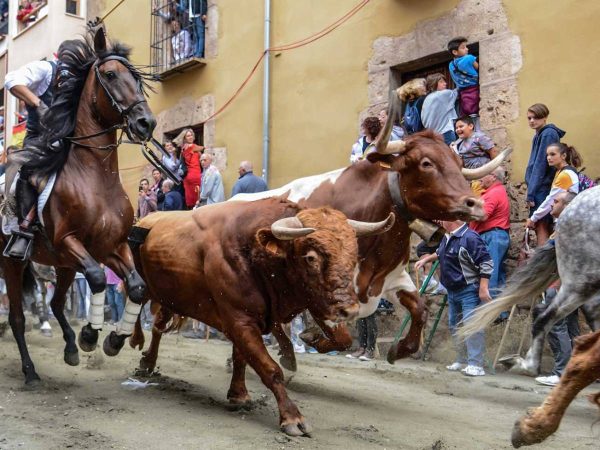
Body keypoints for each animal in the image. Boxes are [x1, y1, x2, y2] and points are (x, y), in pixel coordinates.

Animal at [1, 28, 156, 384]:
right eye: (110, 74)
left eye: (137, 78)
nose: (146, 123)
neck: (95, 178)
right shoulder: (67, 242)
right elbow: (98, 279)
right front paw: (90, 334)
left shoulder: (110, 246)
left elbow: (137, 287)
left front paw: (113, 339)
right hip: (13, 262)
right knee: (17, 317)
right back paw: (30, 370)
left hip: (63, 266)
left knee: (57, 304)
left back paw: (70, 347)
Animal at [116, 198, 394, 436]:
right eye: (311, 258)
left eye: (354, 255)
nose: (350, 309)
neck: (255, 252)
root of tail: (147, 219)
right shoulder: (240, 320)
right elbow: (270, 369)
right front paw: (292, 417)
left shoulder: (274, 312)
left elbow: (244, 358)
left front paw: (239, 394)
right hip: (145, 286)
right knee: (141, 310)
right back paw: (128, 343)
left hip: (171, 297)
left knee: (158, 326)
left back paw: (147, 361)